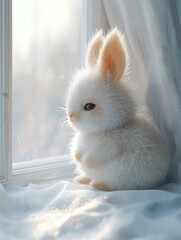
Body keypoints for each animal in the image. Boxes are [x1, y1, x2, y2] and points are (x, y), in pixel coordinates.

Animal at [66, 28, 170, 190]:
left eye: (89, 106)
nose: (70, 115)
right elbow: (77, 151)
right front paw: (78, 157)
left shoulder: (111, 145)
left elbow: (95, 157)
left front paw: (86, 161)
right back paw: (82, 179)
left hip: (126, 175)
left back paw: (98, 184)